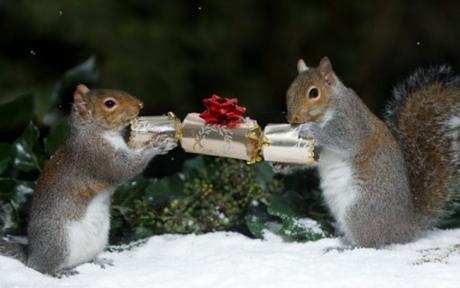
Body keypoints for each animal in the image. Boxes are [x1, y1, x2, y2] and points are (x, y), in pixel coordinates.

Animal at [0, 84, 176, 276]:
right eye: (109, 103)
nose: (140, 105)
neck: (94, 132)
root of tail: (31, 253)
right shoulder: (98, 158)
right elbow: (124, 169)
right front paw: (155, 144)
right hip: (58, 242)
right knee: (39, 268)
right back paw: (58, 272)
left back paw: (98, 260)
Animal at [284, 58, 460, 248]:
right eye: (289, 90)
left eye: (314, 93)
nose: (292, 119)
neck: (326, 111)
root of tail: (405, 227)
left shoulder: (352, 121)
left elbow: (344, 139)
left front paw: (311, 130)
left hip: (359, 209)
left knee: (370, 242)